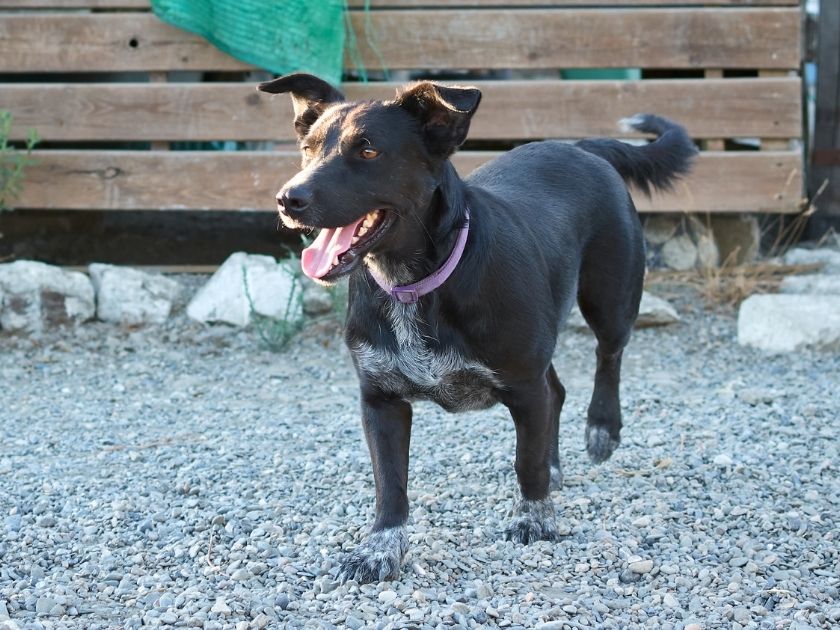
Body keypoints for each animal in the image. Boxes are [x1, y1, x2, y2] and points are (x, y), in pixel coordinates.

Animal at [258, 75, 696, 588]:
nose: (289, 199)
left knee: (608, 357)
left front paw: (534, 517)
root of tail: (580, 146)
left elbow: (525, 461)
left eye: (368, 150)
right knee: (556, 390)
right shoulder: (380, 400)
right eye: (307, 149)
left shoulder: (522, 386)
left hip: (610, 299)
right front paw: (379, 549)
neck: (414, 284)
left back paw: (602, 429)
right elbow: (390, 485)